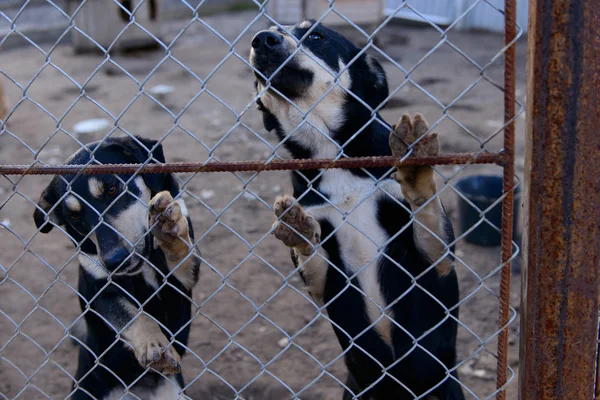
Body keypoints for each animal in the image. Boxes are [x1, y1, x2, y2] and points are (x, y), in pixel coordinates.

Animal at [32, 136, 202, 398]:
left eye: (112, 189)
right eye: (74, 217)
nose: (114, 261)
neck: (143, 267)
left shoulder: (181, 287)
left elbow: (181, 259)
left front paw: (170, 234)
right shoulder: (100, 293)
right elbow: (132, 314)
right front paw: (154, 345)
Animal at [248, 19, 464, 400]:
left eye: (316, 36)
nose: (261, 39)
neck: (330, 150)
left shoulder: (436, 259)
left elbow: (424, 207)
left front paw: (415, 169)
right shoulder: (324, 283)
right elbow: (311, 251)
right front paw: (299, 231)